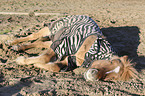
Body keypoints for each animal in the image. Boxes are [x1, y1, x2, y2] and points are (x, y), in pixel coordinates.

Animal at [7, 15, 138, 81]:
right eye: (110, 61)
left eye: (111, 78)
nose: (92, 76)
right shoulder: (62, 44)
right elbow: (45, 58)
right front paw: (20, 60)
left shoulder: (68, 59)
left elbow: (54, 66)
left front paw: (36, 64)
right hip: (51, 29)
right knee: (33, 36)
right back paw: (12, 42)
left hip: (54, 38)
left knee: (39, 42)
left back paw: (18, 47)